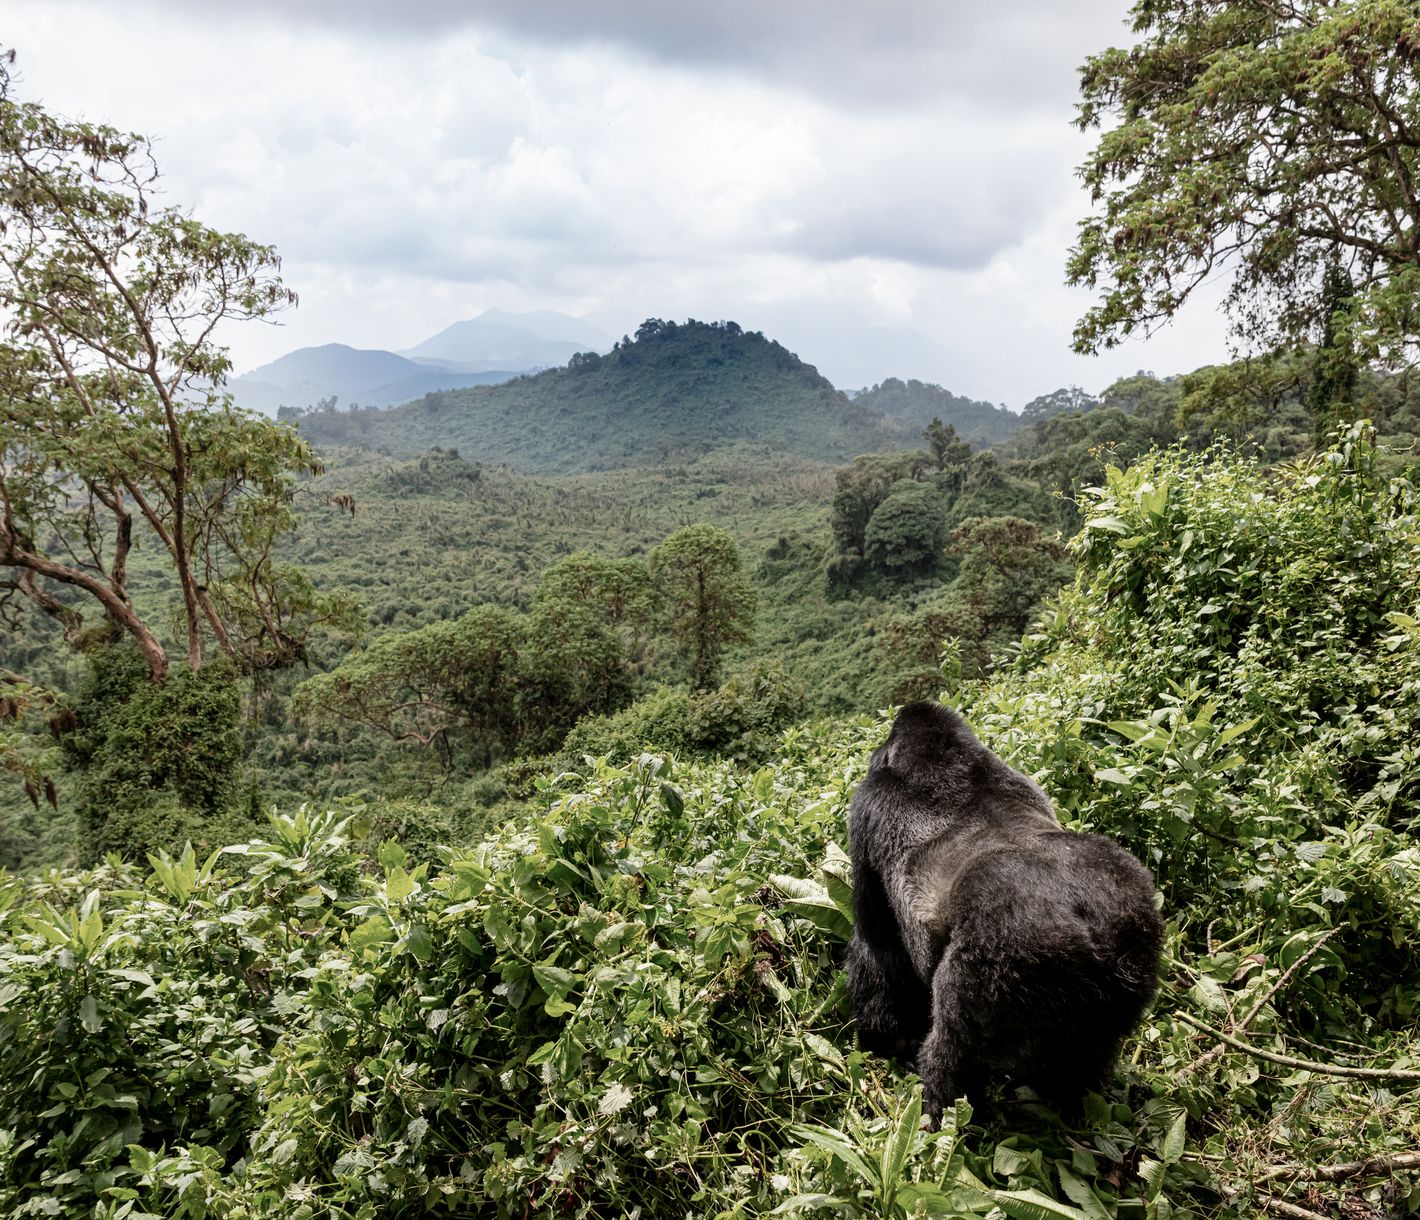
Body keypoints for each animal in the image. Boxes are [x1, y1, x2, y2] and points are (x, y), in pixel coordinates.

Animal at [845, 701, 1163, 1121]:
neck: (942, 757)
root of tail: (1089, 927)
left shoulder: (866, 809)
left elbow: (876, 945)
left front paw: (883, 1039)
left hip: (1000, 957)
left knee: (953, 1053)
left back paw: (940, 1111)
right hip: (1135, 941)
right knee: (1086, 1056)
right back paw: (1071, 1101)